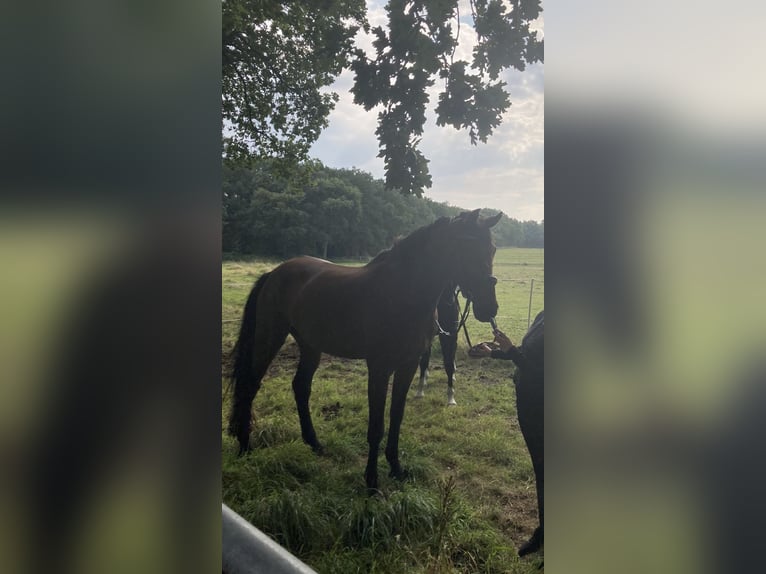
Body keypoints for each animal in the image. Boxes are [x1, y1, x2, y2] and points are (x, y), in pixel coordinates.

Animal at [228, 210, 504, 490]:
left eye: (492, 249)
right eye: (465, 245)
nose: (488, 307)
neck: (403, 294)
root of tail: (274, 273)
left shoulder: (408, 365)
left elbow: (396, 418)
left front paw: (396, 469)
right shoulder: (379, 367)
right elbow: (377, 427)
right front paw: (372, 481)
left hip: (310, 346)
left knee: (301, 387)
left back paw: (314, 443)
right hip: (270, 336)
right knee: (250, 385)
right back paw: (245, 446)